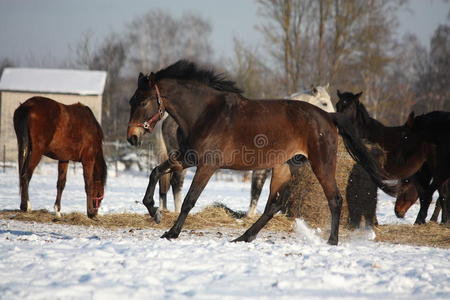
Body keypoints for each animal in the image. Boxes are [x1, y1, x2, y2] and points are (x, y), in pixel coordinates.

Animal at [126, 59, 390, 245]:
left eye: (143, 101)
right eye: (132, 101)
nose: (132, 137)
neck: (206, 113)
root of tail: (328, 117)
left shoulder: (207, 165)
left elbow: (190, 200)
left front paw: (171, 232)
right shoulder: (187, 157)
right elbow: (155, 172)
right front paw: (155, 212)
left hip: (321, 164)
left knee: (334, 198)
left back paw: (331, 241)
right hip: (285, 166)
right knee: (274, 204)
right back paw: (244, 237)